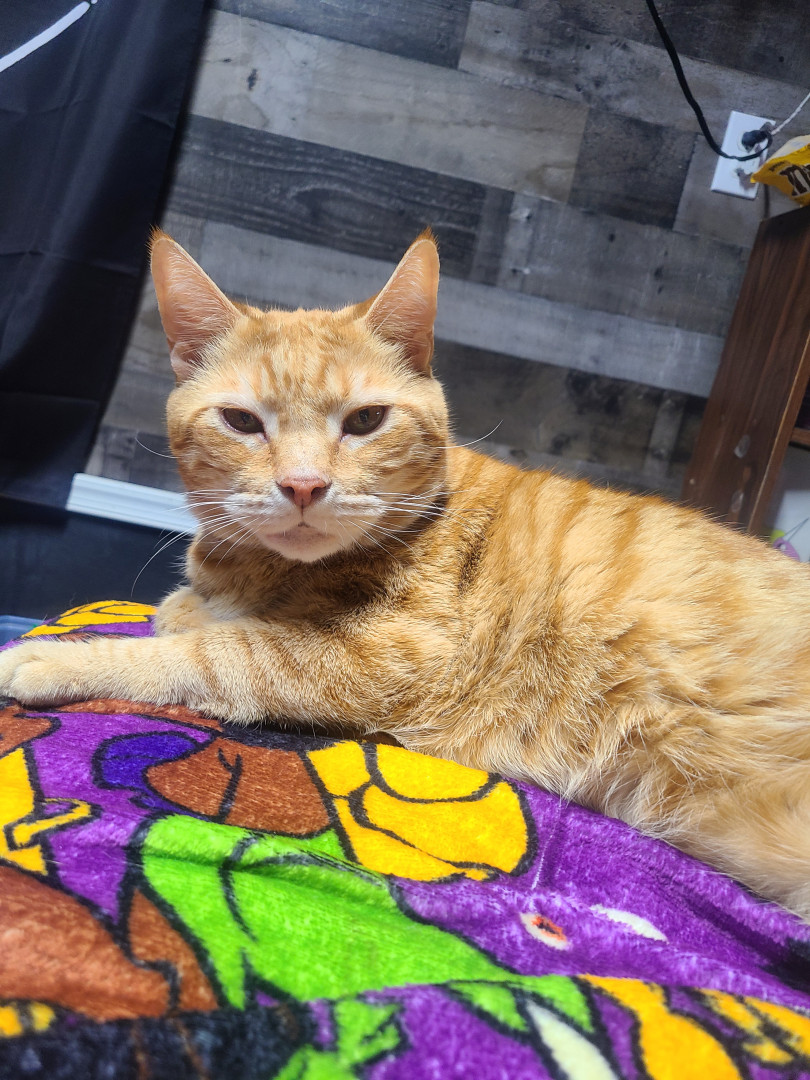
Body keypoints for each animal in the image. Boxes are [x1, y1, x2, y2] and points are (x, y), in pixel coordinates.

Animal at [4, 230, 810, 919]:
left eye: (365, 422)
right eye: (242, 422)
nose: (303, 485)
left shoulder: (387, 658)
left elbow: (206, 654)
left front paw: (59, 658)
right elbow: (190, 611)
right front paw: (193, 604)